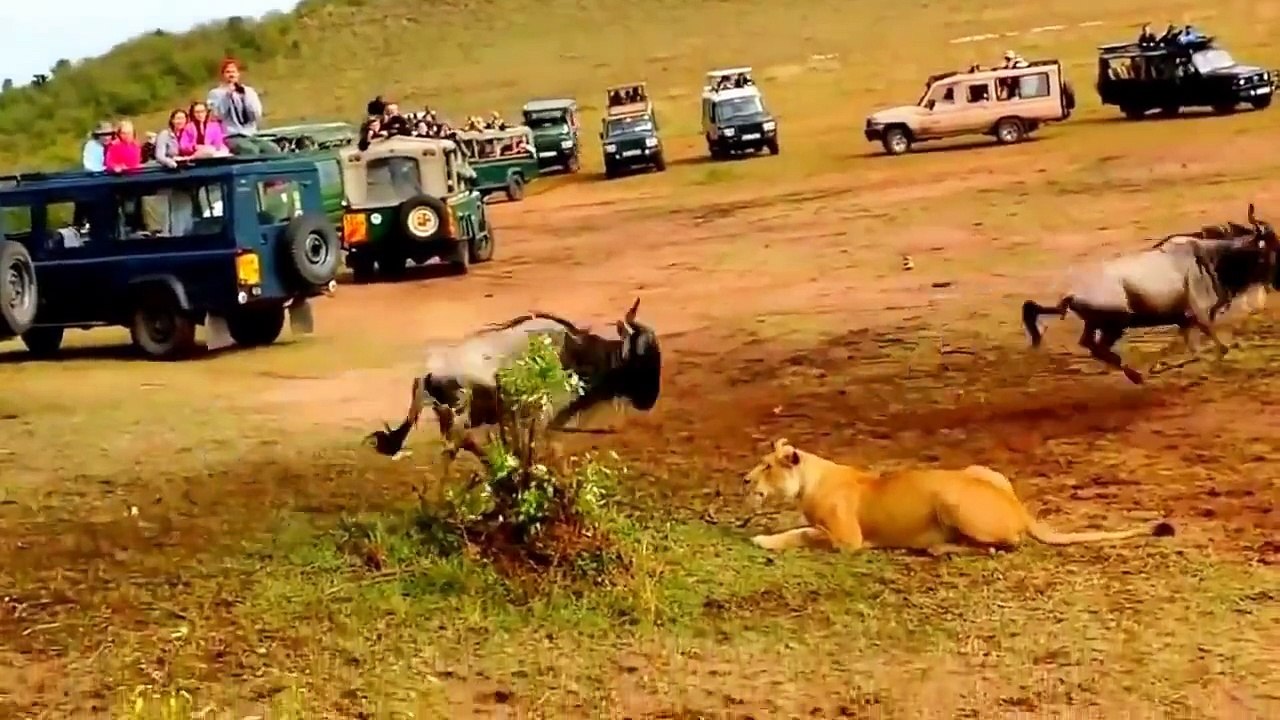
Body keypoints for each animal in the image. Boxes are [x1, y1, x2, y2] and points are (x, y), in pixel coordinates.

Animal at [743, 438, 1175, 556]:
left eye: (766, 466)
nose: (744, 479)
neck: (810, 478)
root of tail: (1020, 509)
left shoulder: (848, 541)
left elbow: (803, 533)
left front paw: (764, 539)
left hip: (949, 498)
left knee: (1006, 545)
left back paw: (939, 549)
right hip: (980, 470)